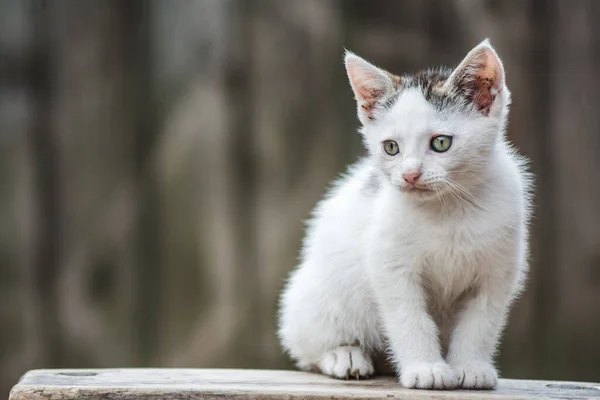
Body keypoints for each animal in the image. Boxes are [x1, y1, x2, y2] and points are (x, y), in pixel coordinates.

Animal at [278, 39, 536, 390]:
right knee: (307, 345)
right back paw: (344, 355)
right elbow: (408, 318)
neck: (448, 209)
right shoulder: (390, 266)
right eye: (391, 148)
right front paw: (426, 368)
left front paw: (470, 366)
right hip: (318, 294)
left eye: (441, 143)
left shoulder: (498, 272)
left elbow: (480, 322)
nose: (410, 175)